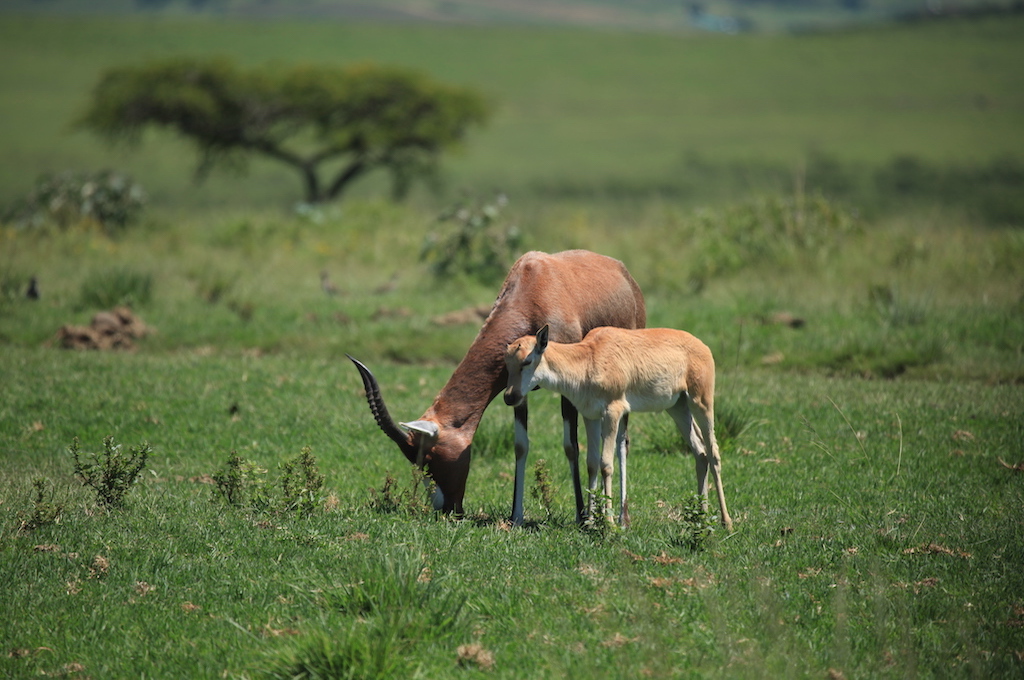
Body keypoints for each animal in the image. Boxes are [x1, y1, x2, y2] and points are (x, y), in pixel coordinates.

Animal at [348, 251, 643, 522]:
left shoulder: (567, 390)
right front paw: (516, 516)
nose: (446, 510)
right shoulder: (518, 392)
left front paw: (582, 516)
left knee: (622, 440)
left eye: (429, 459)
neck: (536, 284)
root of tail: (624, 273)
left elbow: (571, 446)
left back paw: (621, 518)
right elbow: (520, 445)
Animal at [501, 323, 729, 532]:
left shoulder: (613, 412)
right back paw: (702, 517)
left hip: (701, 403)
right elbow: (591, 463)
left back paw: (726, 522)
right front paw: (590, 522)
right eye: (507, 363)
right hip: (678, 408)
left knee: (713, 453)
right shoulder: (590, 417)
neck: (589, 358)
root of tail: (702, 346)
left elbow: (606, 464)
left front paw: (609, 523)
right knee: (700, 452)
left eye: (527, 360)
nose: (509, 397)